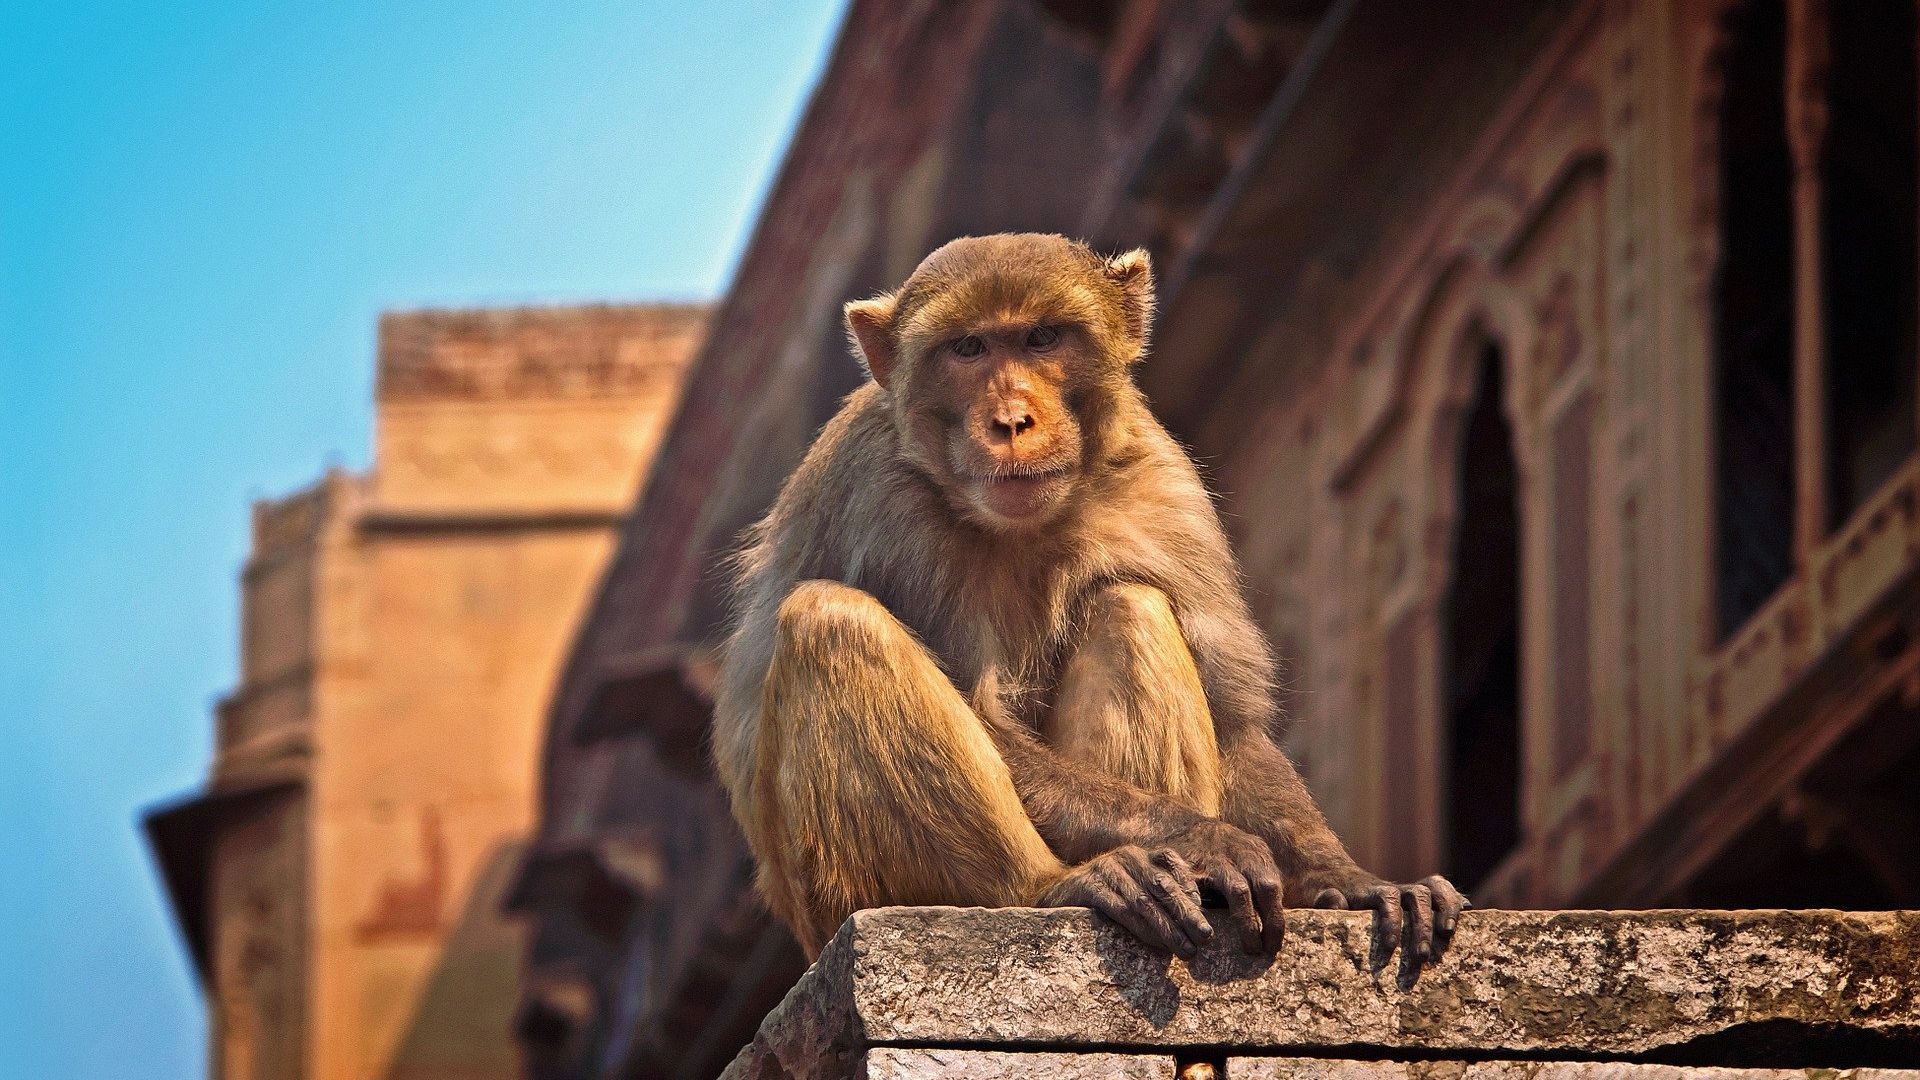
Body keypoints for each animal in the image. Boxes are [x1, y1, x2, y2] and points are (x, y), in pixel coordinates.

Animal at [713, 233, 1464, 975]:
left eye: (1042, 338)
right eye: (968, 348)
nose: (1012, 420)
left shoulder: (1166, 484)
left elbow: (1233, 721)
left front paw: (1347, 878)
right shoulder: (878, 500)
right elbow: (984, 714)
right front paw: (1203, 836)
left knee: (1131, 602)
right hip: (830, 899)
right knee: (830, 621)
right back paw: (1056, 886)